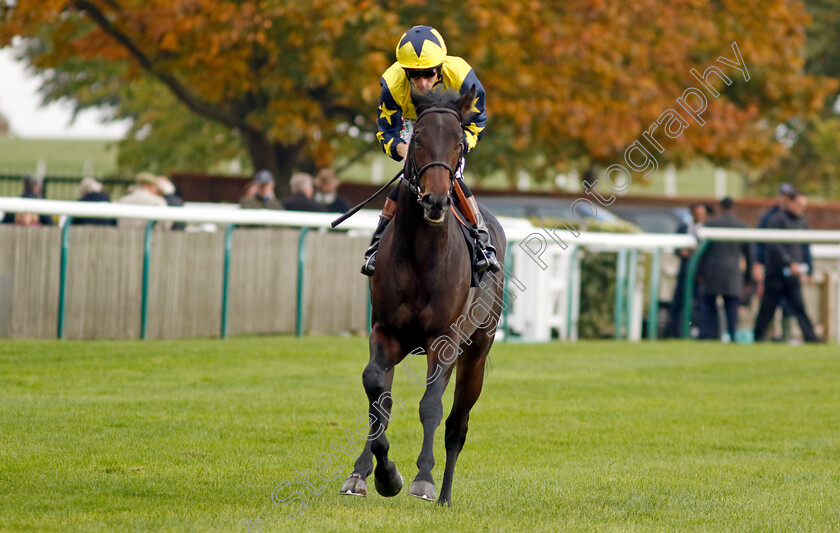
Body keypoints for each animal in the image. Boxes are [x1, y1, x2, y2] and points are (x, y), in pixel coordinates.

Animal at [340, 86, 506, 502]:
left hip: (477, 351)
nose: (435, 199)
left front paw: (424, 478)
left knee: (457, 423)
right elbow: (376, 396)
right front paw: (382, 474)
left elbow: (430, 405)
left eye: (459, 141)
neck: (421, 254)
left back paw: (444, 495)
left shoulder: (443, 339)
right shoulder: (386, 332)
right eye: (417, 140)